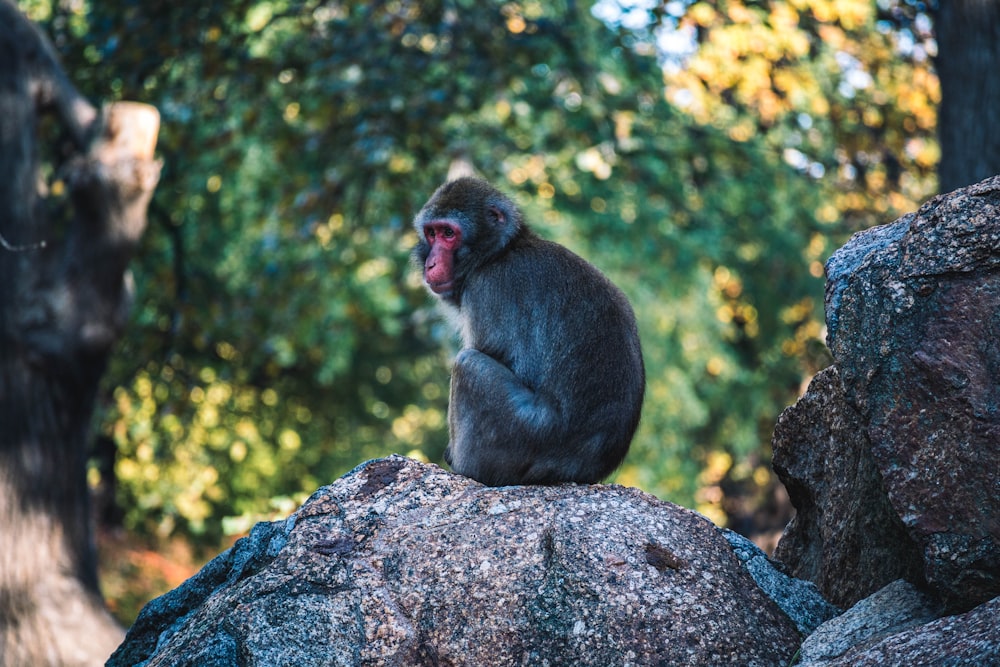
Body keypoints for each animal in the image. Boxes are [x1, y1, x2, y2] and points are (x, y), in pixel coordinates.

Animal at [410, 176, 644, 490]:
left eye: (449, 233)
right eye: (431, 233)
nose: (431, 264)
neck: (499, 253)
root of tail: (573, 472)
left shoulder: (487, 290)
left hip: (523, 433)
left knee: (469, 365)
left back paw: (466, 468)